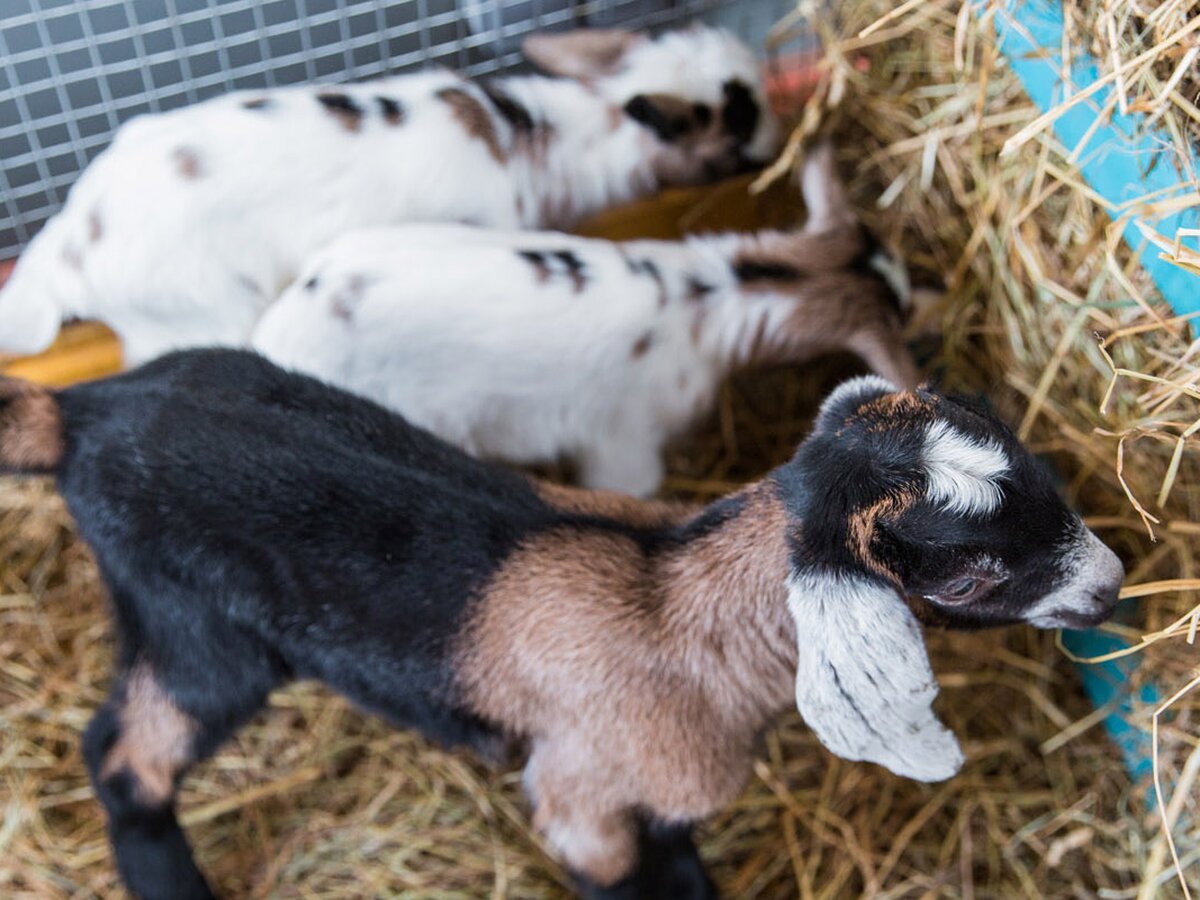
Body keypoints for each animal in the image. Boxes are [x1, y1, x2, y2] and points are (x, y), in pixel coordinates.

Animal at [2, 352, 1123, 900]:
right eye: (971, 574)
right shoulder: (584, 794)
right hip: (198, 628)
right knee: (125, 756)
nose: (1108, 588)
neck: (680, 606)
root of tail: (77, 412)